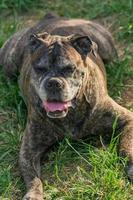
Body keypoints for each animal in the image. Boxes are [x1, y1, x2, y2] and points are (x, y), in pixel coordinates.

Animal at [0, 13, 133, 199]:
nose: (53, 83)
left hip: (109, 51)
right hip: (9, 63)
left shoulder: (127, 120)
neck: (70, 114)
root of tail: (51, 17)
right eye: (39, 69)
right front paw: (34, 193)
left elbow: (127, 146)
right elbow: (33, 176)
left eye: (70, 69)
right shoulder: (29, 149)